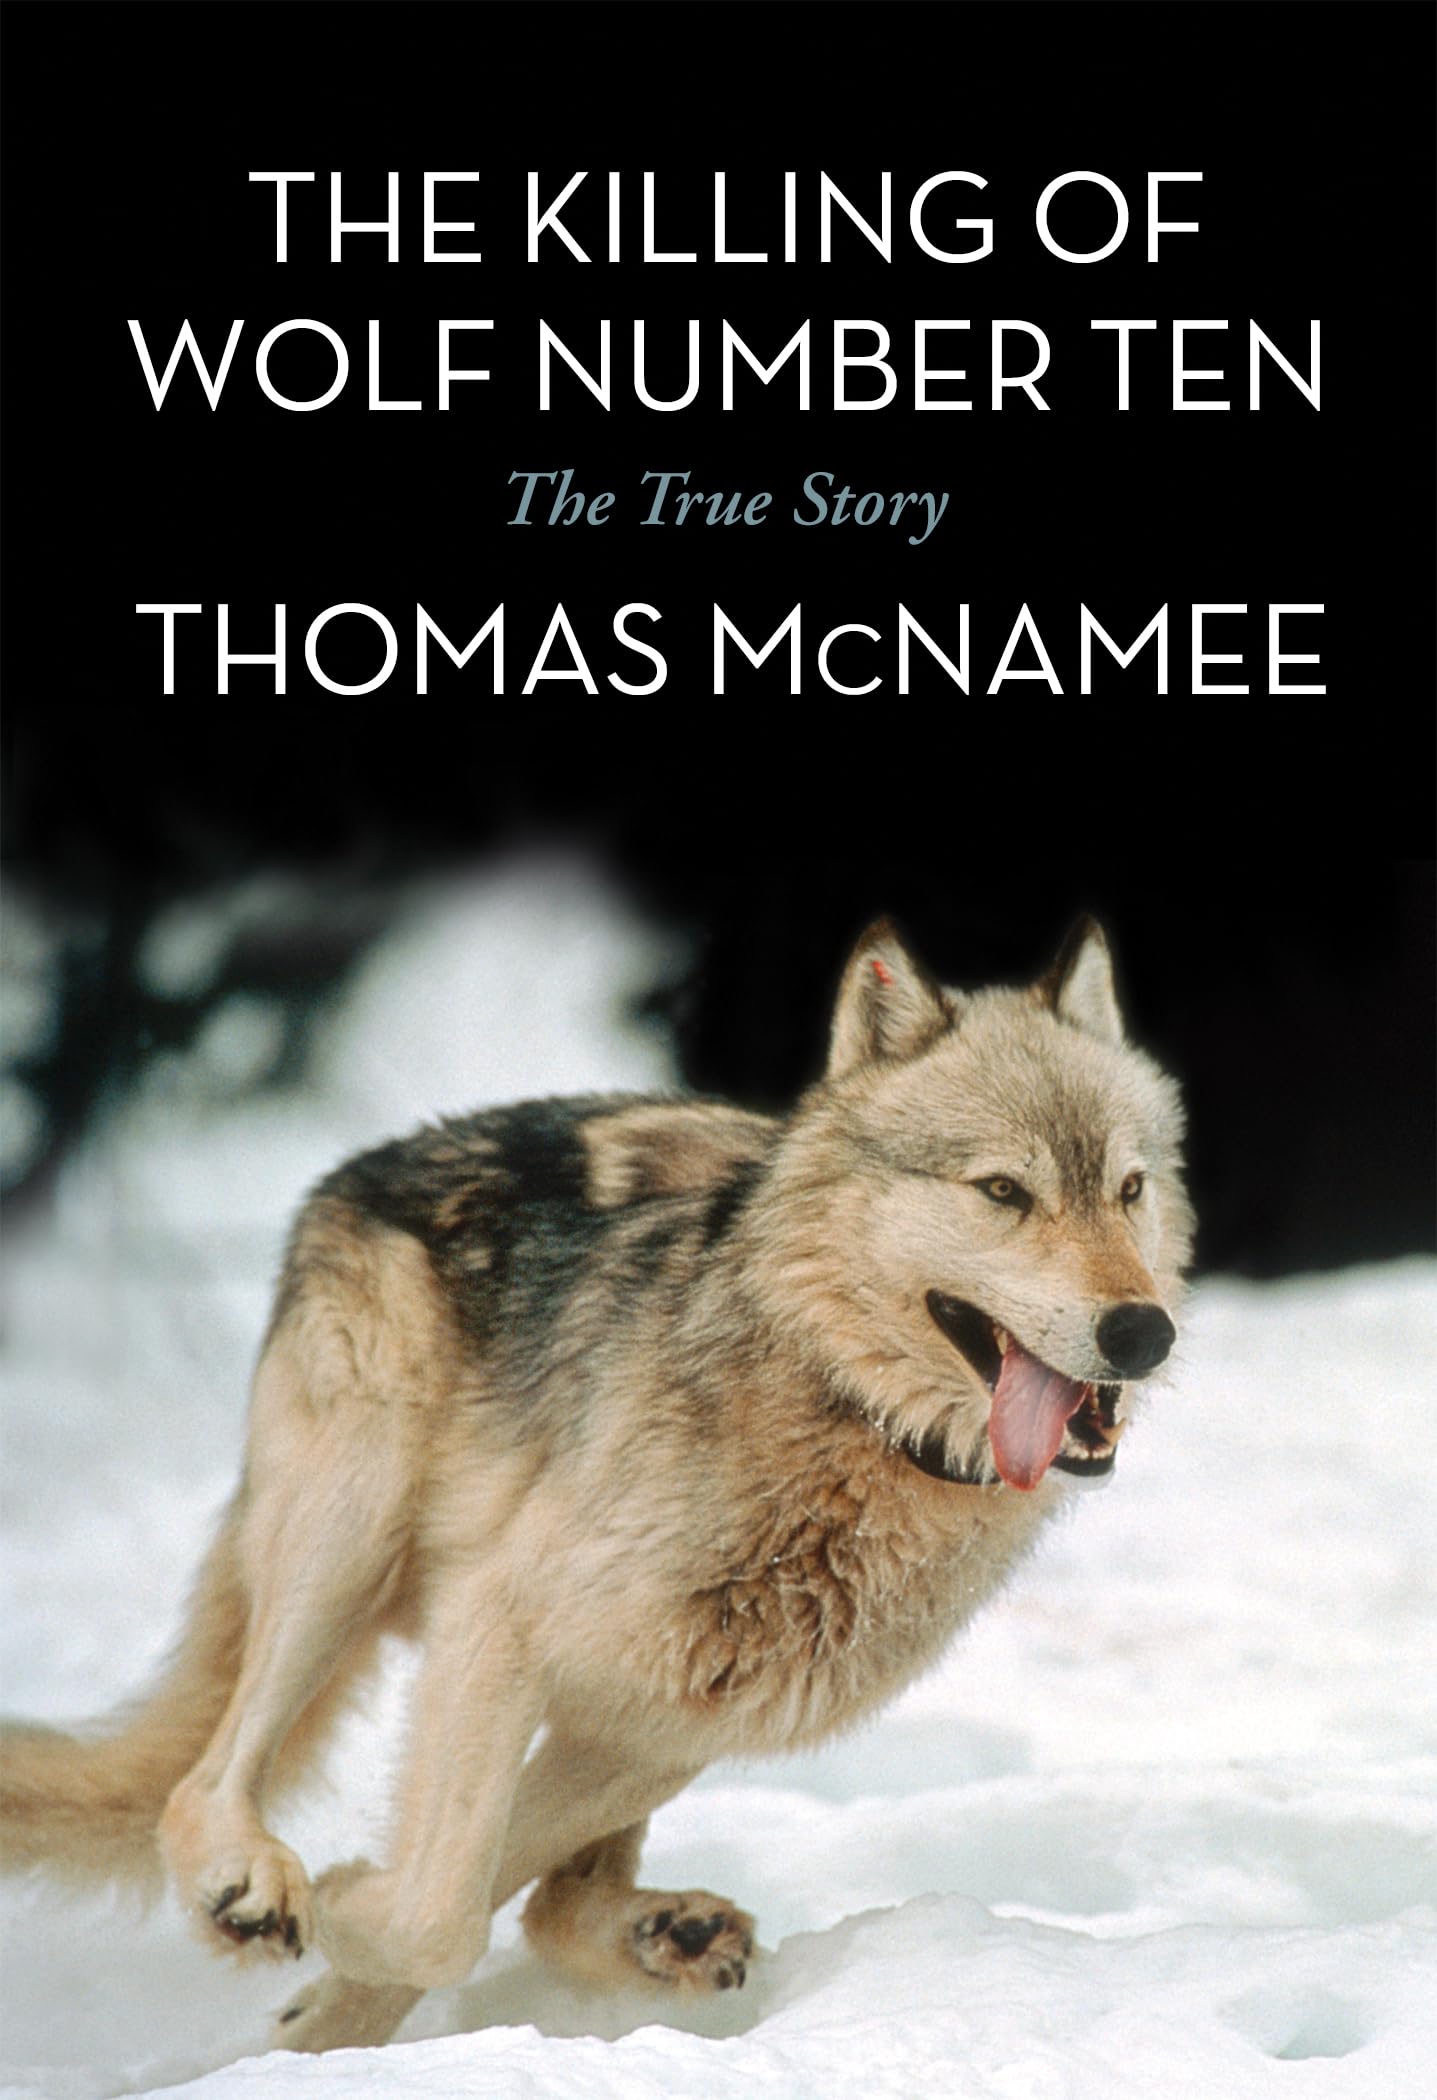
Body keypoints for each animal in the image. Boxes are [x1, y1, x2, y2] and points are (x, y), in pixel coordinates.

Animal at [1, 916, 1191, 2054]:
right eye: (1003, 1191)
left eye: (1127, 1189)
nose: (1143, 1332)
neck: (839, 1411)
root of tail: (363, 1166)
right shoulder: (500, 1626)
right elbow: (439, 1914)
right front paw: (339, 1903)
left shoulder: (656, 1724)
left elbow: (470, 1896)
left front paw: (336, 1976)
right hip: (349, 1545)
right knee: (205, 1781)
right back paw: (245, 1886)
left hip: (627, 1700)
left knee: (542, 1894)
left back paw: (658, 1937)